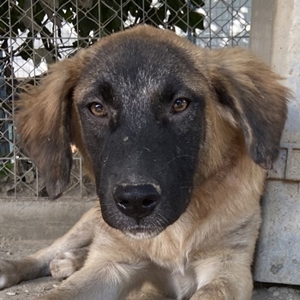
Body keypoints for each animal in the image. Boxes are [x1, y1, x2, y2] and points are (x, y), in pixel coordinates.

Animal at [0, 25, 290, 300]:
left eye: (180, 104)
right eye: (97, 108)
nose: (135, 201)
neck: (173, 234)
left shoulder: (228, 267)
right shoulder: (111, 264)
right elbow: (58, 293)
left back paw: (71, 260)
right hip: (92, 219)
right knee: (51, 249)